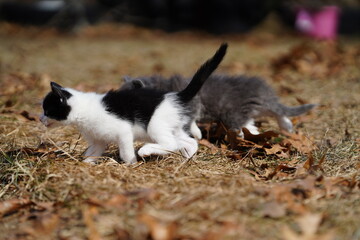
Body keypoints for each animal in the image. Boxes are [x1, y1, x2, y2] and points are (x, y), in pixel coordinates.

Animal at [40, 43, 228, 164]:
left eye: (47, 110)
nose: (40, 118)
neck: (83, 111)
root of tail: (175, 95)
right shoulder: (98, 140)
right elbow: (92, 153)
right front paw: (87, 163)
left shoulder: (123, 131)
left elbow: (125, 152)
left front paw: (130, 164)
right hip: (173, 127)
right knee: (189, 142)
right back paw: (186, 159)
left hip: (155, 126)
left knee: (171, 144)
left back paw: (146, 150)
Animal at [120, 75, 316, 139]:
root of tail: (264, 94)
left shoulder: (193, 103)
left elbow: (189, 120)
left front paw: (196, 134)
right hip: (252, 109)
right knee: (274, 114)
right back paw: (285, 126)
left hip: (233, 112)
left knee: (245, 124)